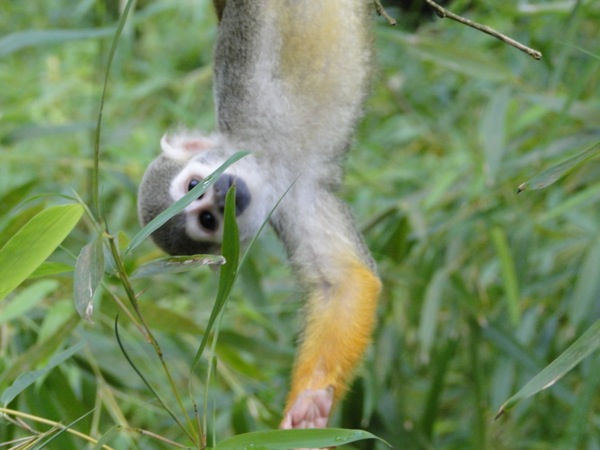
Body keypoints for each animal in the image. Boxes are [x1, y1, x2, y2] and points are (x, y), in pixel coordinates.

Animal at [137, 0, 380, 428]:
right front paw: (310, 402)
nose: (221, 195)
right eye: (207, 221)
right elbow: (343, 285)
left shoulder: (240, 92)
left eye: (194, 185)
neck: (270, 160)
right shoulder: (292, 202)